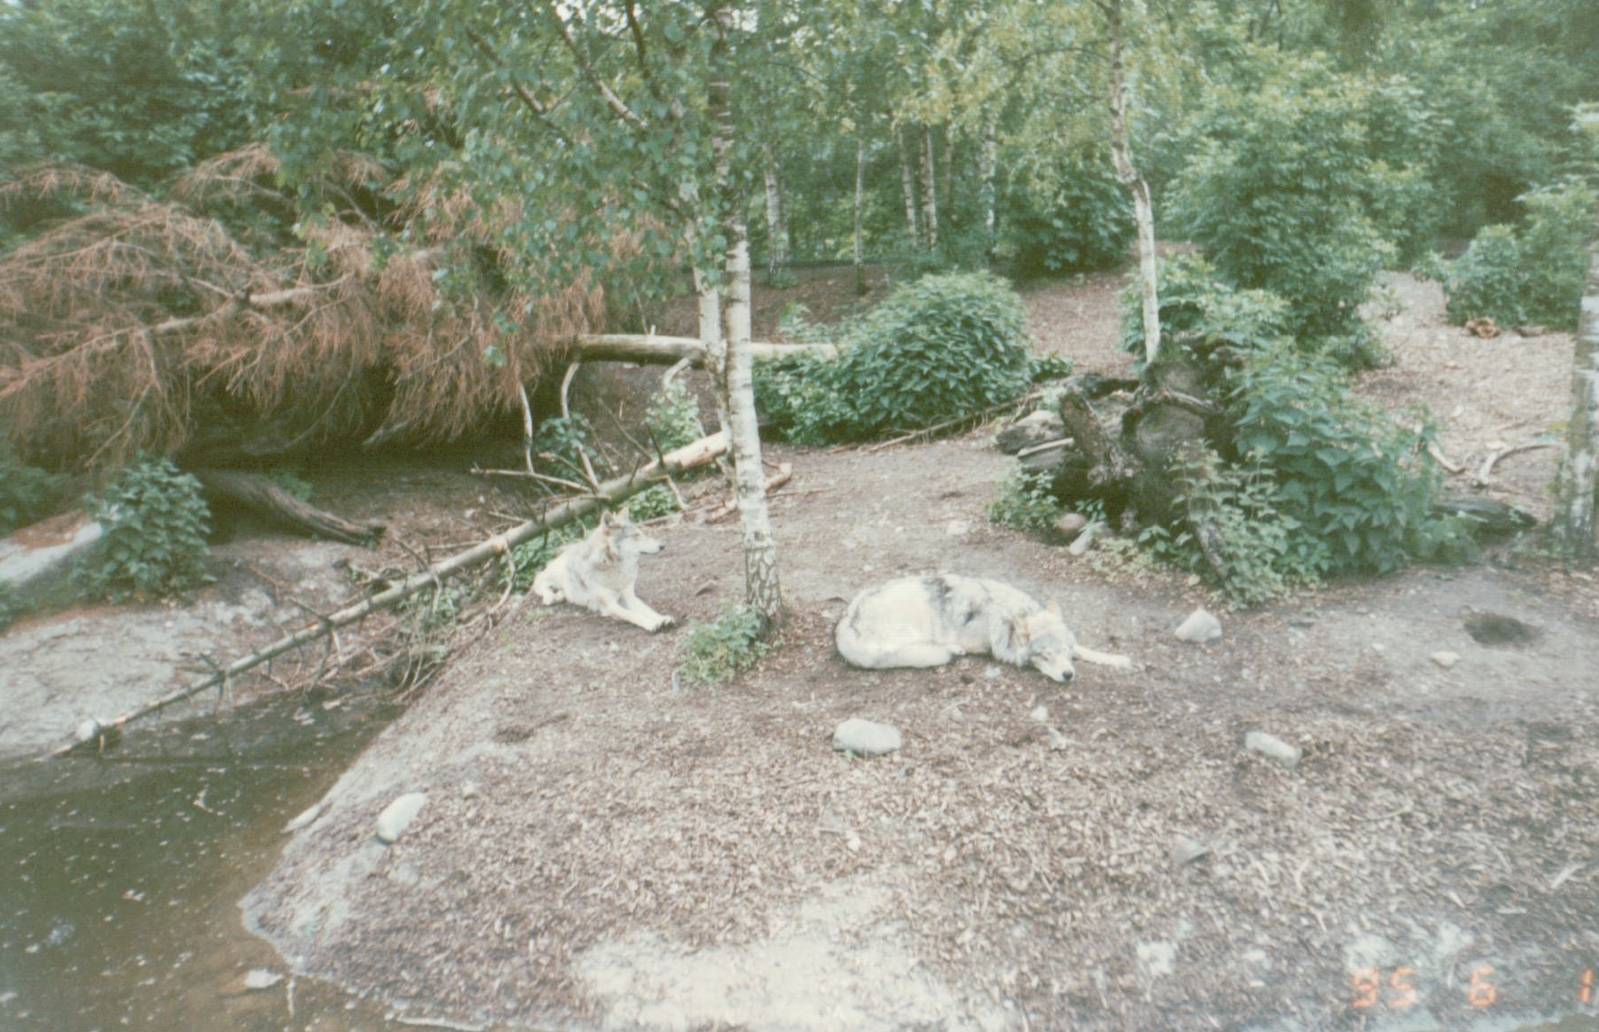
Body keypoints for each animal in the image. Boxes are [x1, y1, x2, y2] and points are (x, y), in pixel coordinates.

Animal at [531, 510, 675, 632]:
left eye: (641, 533)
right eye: (635, 535)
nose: (663, 546)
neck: (612, 565)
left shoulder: (630, 597)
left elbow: (648, 610)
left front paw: (662, 618)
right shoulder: (610, 605)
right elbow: (633, 615)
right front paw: (652, 624)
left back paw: (561, 595)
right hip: (554, 574)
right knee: (538, 581)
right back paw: (550, 597)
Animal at [834, 574, 1132, 683]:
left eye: (1064, 654)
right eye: (1045, 656)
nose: (1068, 675)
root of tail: (847, 618)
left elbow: (1088, 649)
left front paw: (1119, 659)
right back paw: (951, 650)